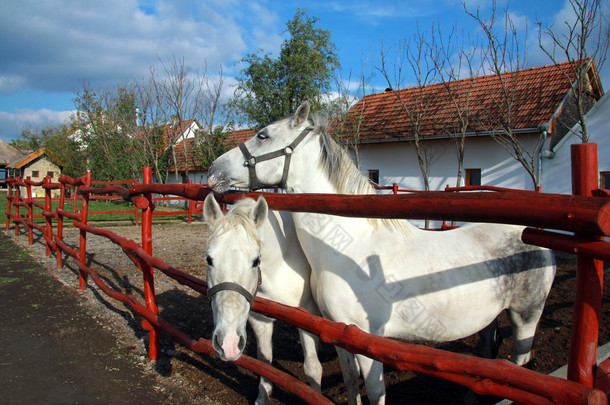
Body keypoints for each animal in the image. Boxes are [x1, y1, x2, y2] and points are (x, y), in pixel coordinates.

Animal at [202, 194, 320, 402]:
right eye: (209, 259)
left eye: (256, 260)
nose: (228, 344)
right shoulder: (260, 319)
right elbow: (264, 362)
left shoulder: (308, 316)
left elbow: (313, 368)